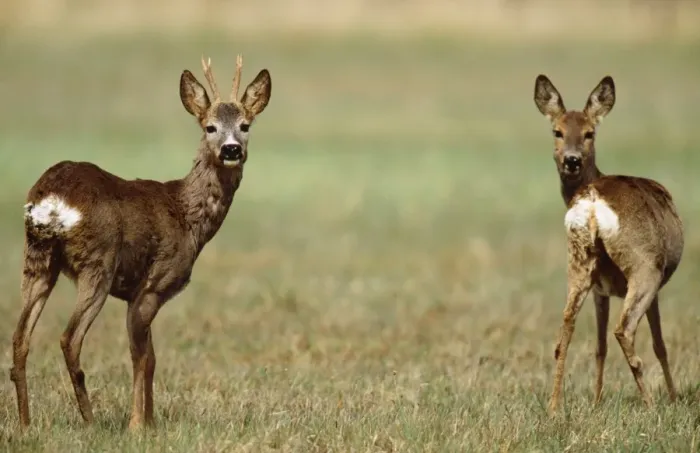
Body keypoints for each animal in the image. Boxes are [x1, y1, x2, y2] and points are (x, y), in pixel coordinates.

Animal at [10, 55, 271, 430]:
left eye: (245, 125)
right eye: (209, 127)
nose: (231, 149)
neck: (186, 216)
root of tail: (51, 198)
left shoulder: (138, 293)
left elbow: (151, 357)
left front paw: (150, 421)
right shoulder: (151, 286)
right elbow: (142, 357)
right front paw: (137, 425)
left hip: (37, 258)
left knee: (20, 338)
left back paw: (26, 423)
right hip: (98, 263)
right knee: (69, 338)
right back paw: (90, 421)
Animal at [533, 74, 684, 415]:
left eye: (589, 133)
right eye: (557, 131)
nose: (571, 160)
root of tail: (591, 200)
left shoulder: (600, 290)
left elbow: (598, 346)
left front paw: (597, 400)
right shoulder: (655, 286)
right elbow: (660, 344)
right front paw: (673, 398)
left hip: (579, 261)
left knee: (565, 330)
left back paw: (554, 406)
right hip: (645, 268)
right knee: (624, 329)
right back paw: (651, 404)